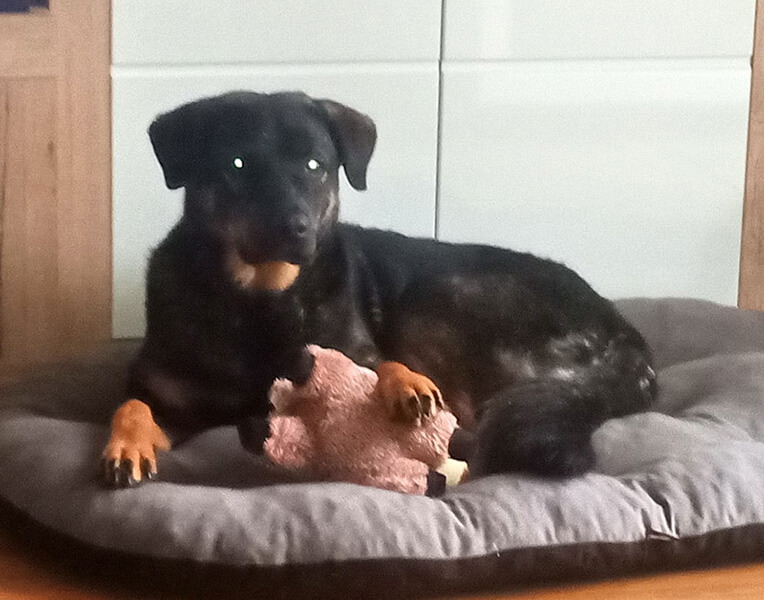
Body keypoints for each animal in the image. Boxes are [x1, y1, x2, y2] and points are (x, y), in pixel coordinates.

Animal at [102, 91, 656, 487]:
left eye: (315, 165)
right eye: (236, 164)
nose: (295, 228)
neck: (258, 297)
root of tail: (630, 342)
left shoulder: (356, 350)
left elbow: (379, 366)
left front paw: (403, 384)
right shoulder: (161, 389)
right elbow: (131, 405)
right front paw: (126, 445)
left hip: (439, 301)